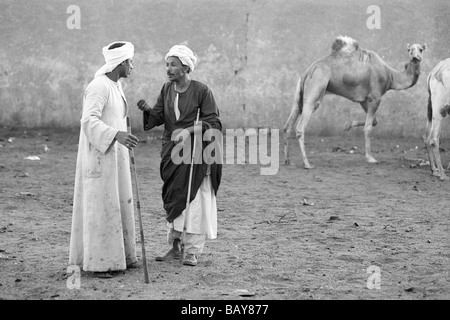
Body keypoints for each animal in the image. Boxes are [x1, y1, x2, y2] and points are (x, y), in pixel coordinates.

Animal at [284, 35, 428, 168]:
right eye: (410, 50)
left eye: (420, 49)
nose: (415, 57)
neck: (392, 77)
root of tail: (307, 72)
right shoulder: (375, 97)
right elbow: (368, 128)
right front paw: (370, 158)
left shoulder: (363, 99)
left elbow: (375, 121)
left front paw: (347, 125)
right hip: (315, 88)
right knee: (300, 128)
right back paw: (307, 164)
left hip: (299, 95)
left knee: (288, 125)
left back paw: (288, 161)